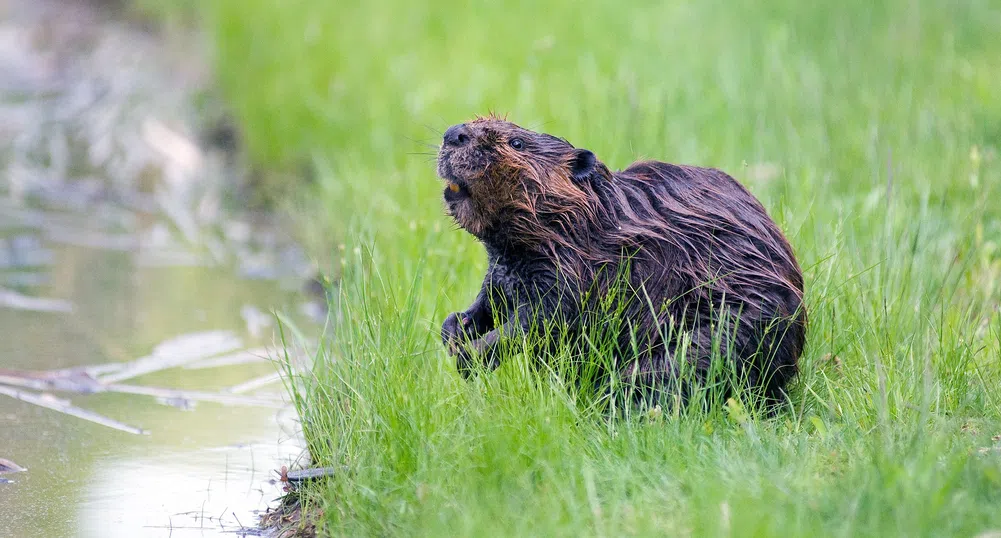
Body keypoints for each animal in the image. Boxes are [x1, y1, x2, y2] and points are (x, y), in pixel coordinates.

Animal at [438, 114, 804, 406]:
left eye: (517, 142)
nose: (454, 133)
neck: (589, 218)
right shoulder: (503, 269)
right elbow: (490, 301)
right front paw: (453, 329)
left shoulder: (580, 269)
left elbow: (544, 319)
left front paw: (469, 356)